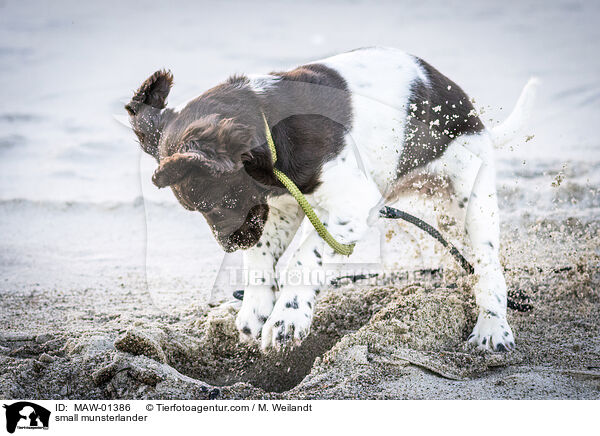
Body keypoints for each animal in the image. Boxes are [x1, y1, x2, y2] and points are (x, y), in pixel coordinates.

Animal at [126, 47, 540, 352]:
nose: (230, 244)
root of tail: (474, 118)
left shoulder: (354, 204)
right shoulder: (284, 207)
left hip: (471, 197)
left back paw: (493, 329)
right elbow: (262, 257)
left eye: (213, 205)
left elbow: (303, 258)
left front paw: (288, 318)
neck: (269, 123)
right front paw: (255, 308)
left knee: (488, 268)